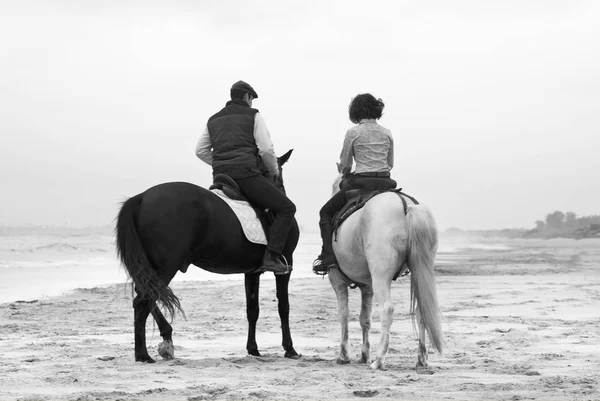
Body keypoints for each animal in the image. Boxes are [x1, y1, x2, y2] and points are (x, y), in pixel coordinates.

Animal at [113, 149, 298, 362]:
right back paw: (143, 354)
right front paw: (289, 348)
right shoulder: (285, 266)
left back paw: (163, 341)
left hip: (148, 267)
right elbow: (284, 307)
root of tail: (143, 196)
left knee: (147, 296)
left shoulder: (252, 272)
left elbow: (253, 310)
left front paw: (253, 349)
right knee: (143, 301)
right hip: (167, 265)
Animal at [328, 166, 440, 368]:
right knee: (422, 310)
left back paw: (380, 359)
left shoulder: (337, 280)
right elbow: (365, 319)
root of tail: (406, 205)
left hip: (381, 275)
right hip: (419, 270)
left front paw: (344, 355)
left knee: (387, 309)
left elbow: (344, 315)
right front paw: (364, 355)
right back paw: (421, 358)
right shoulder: (367, 286)